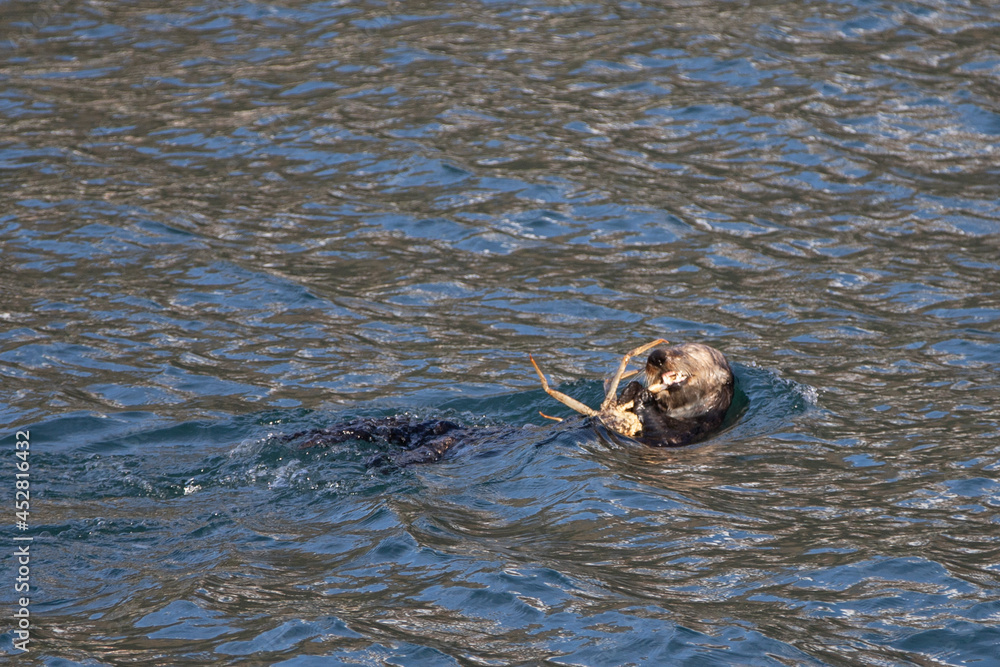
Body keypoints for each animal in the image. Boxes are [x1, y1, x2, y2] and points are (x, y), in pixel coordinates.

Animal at [286, 341, 735, 464]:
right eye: (669, 346)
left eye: (687, 352)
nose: (656, 356)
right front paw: (630, 390)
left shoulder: (686, 434)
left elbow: (656, 434)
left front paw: (635, 400)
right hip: (431, 427)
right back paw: (301, 436)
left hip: (433, 448)